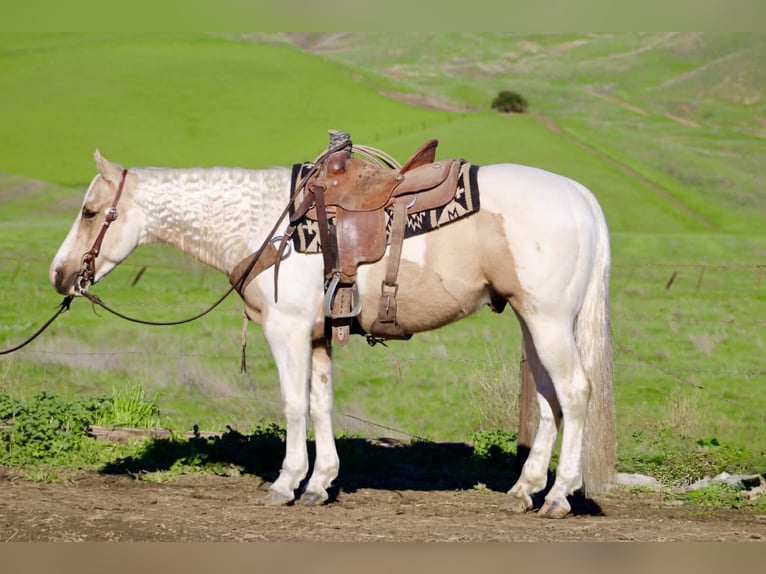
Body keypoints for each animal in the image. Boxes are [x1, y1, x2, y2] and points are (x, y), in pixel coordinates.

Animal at [50, 148, 615, 518]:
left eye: (90, 212)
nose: (59, 274)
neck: (268, 225)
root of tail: (581, 196)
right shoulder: (319, 337)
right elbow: (321, 404)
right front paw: (320, 483)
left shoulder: (287, 331)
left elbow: (293, 404)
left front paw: (286, 482)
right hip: (532, 321)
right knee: (548, 399)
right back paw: (524, 490)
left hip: (548, 320)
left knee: (575, 392)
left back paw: (559, 496)